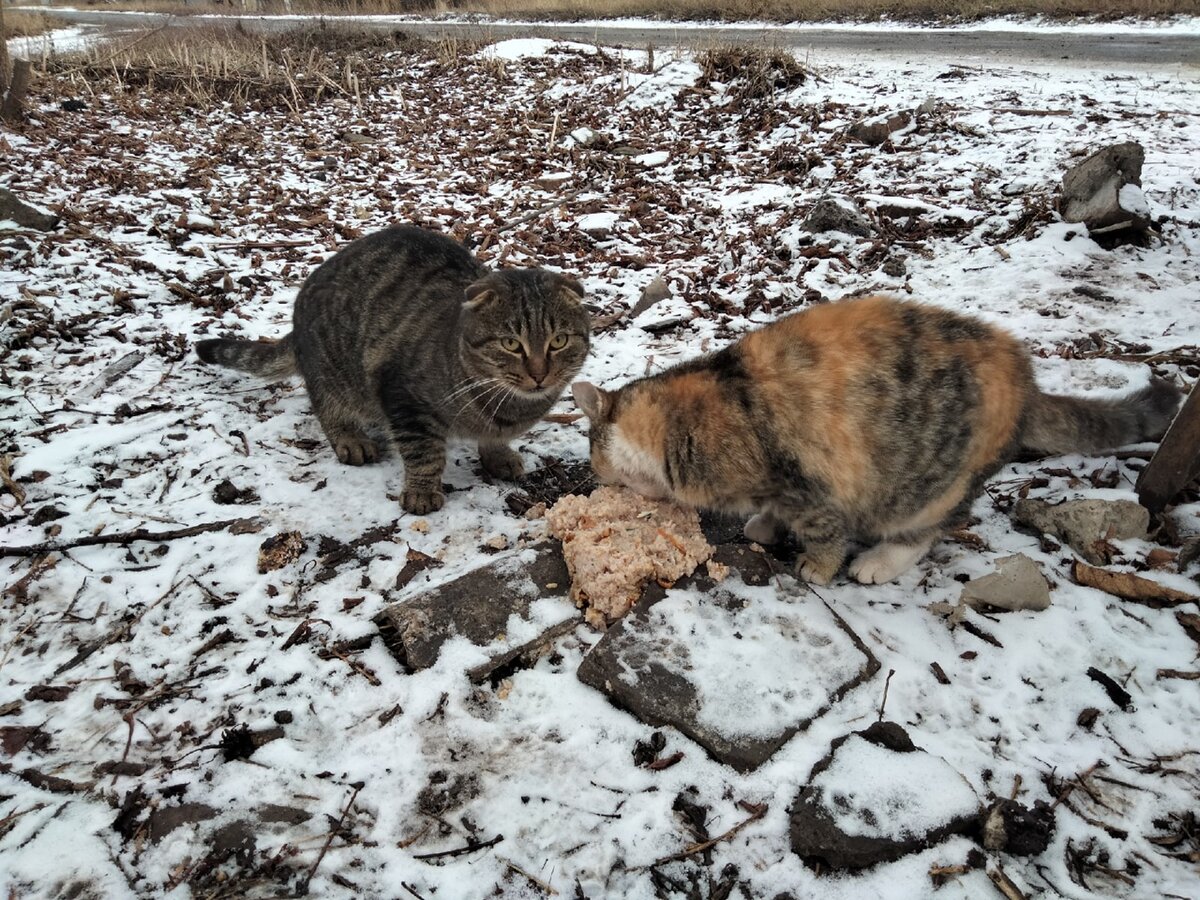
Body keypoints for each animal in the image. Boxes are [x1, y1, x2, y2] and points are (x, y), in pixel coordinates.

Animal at [199, 225, 592, 513]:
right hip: (334, 372)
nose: (539, 374)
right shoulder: (403, 396)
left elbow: (494, 440)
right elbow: (423, 452)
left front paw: (497, 455)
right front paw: (421, 491)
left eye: (558, 341)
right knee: (326, 405)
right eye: (511, 344)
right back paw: (350, 438)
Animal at [573, 297, 1180, 585]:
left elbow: (823, 531)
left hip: (926, 484)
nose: (599, 481)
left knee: (927, 531)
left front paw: (816, 566)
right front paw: (765, 526)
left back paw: (879, 562)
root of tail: (1027, 381)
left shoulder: (806, 483)